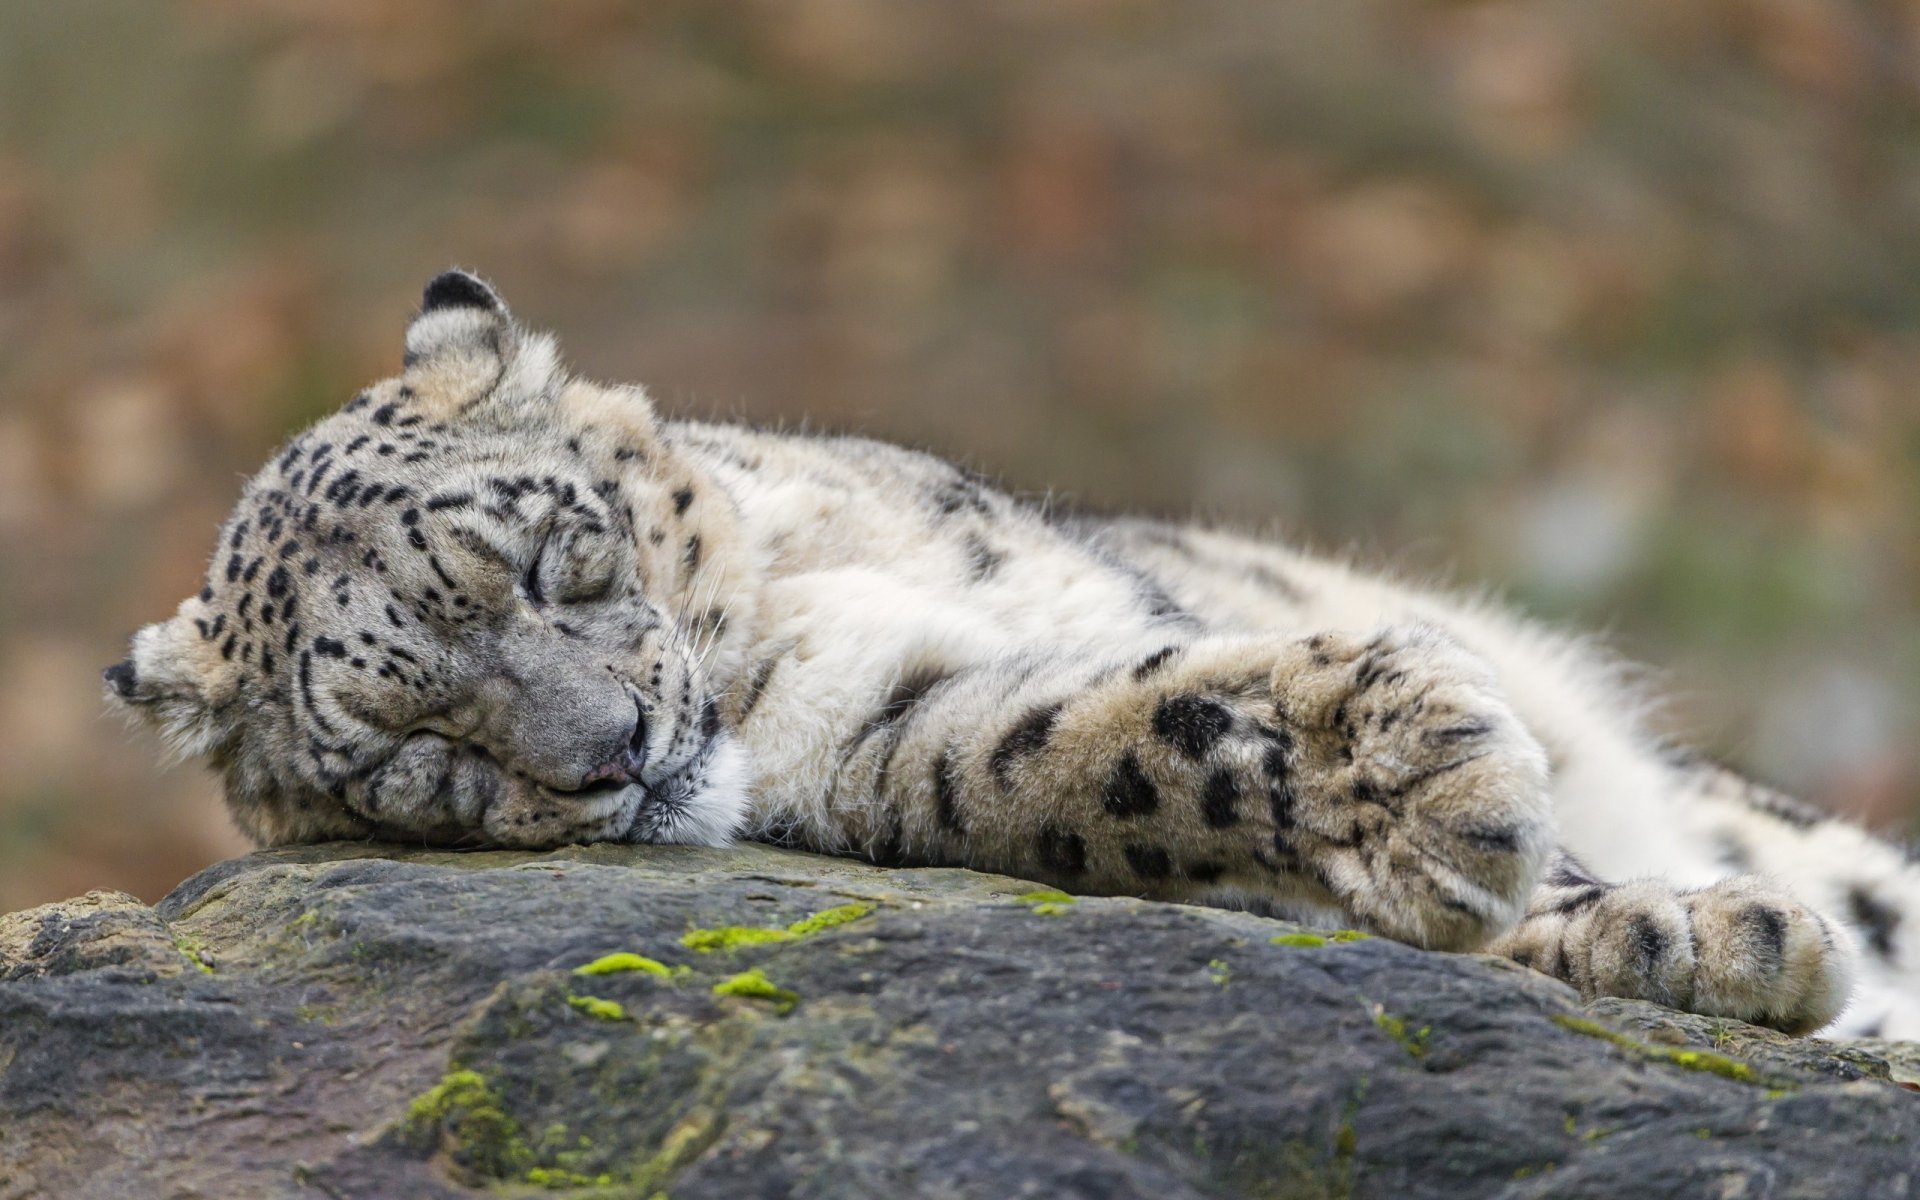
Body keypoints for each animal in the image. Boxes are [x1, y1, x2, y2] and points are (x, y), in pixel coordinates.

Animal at [105, 269, 1920, 1038]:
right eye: (418, 754)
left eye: (559, 558)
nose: (614, 750)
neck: (793, 602)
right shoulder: (907, 747)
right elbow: (1115, 742)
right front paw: (1488, 827)